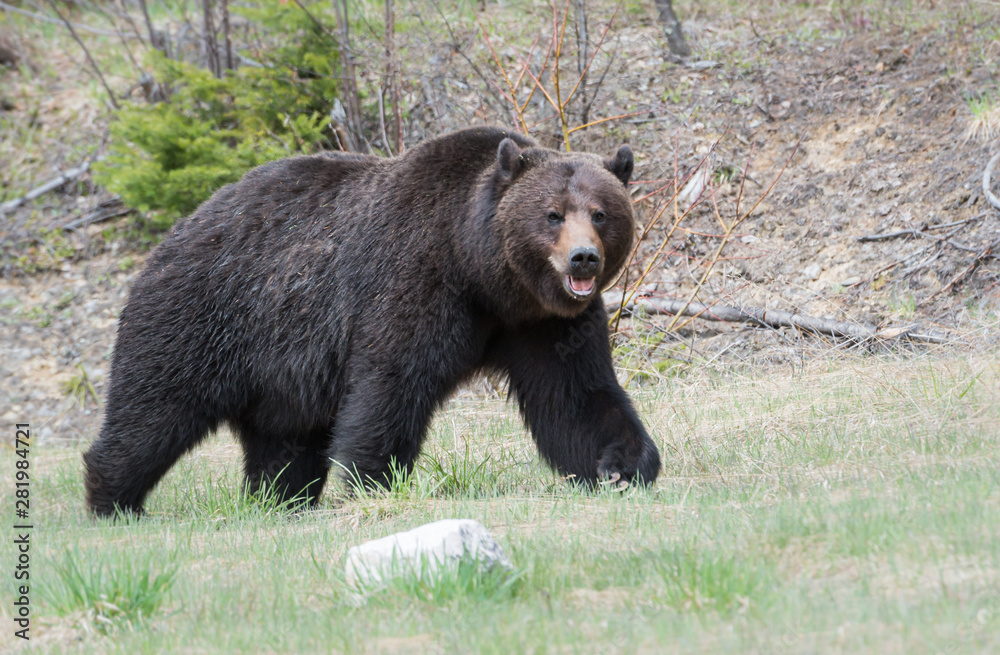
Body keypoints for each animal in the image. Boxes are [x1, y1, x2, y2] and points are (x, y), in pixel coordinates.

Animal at [82, 127, 660, 516]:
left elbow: (576, 395)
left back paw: (280, 499)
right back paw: (112, 499)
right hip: (204, 316)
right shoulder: (416, 282)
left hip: (281, 373)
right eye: (552, 214)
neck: (484, 273)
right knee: (153, 410)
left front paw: (625, 464)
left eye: (601, 212)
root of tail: (177, 230)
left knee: (284, 444)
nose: (583, 258)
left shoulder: (544, 325)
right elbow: (391, 382)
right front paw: (373, 480)